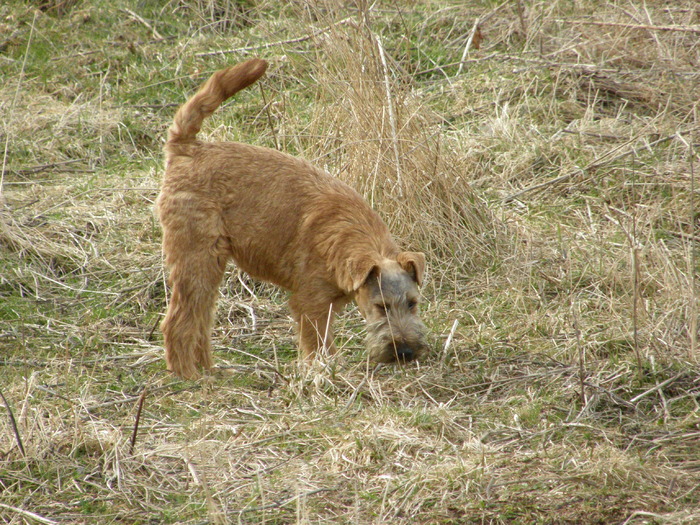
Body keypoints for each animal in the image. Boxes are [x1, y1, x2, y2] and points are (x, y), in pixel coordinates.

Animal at [156, 58, 426, 376]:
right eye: (381, 306)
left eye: (412, 304)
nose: (405, 352)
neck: (348, 237)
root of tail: (186, 148)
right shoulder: (310, 303)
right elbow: (318, 344)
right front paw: (324, 372)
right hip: (196, 259)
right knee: (177, 322)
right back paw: (187, 376)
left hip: (210, 265)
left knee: (200, 320)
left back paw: (209, 370)